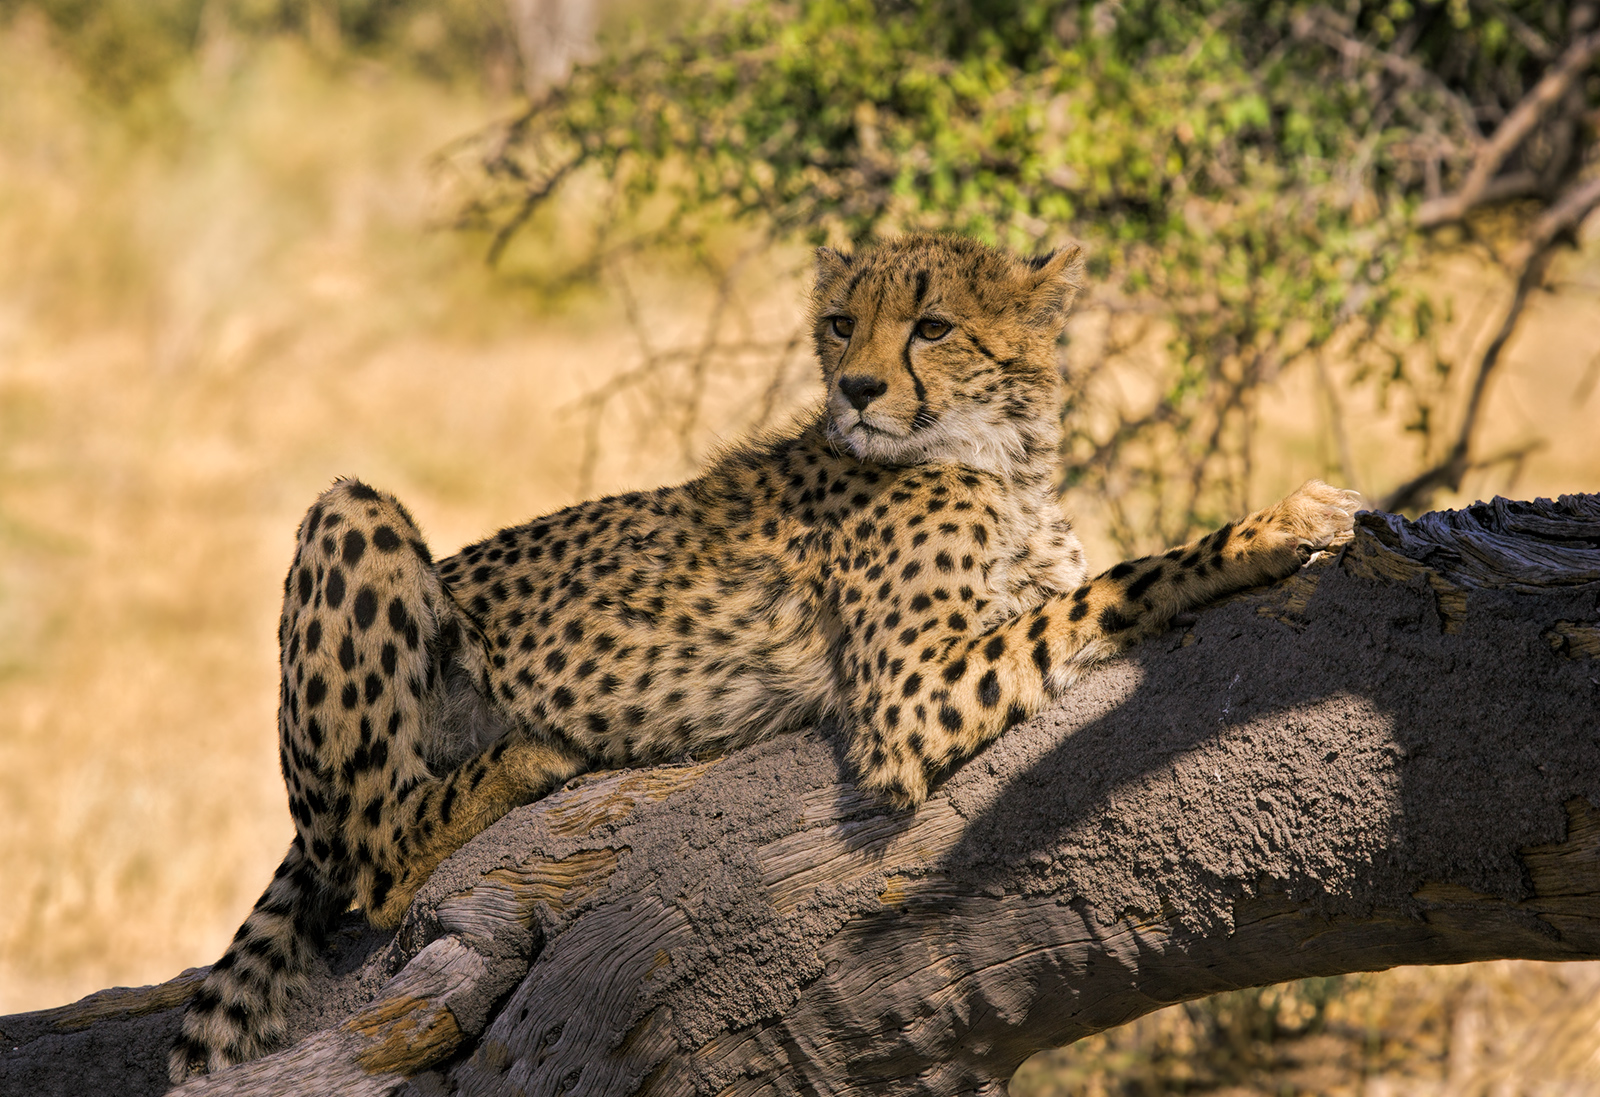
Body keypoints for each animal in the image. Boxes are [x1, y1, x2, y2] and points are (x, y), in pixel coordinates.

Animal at [169, 233, 1360, 1080]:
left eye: (932, 324)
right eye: (840, 322)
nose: (858, 390)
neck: (999, 458)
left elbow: (1080, 584)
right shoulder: (910, 693)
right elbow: (1124, 580)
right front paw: (1266, 526)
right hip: (353, 513)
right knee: (368, 857)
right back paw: (526, 758)